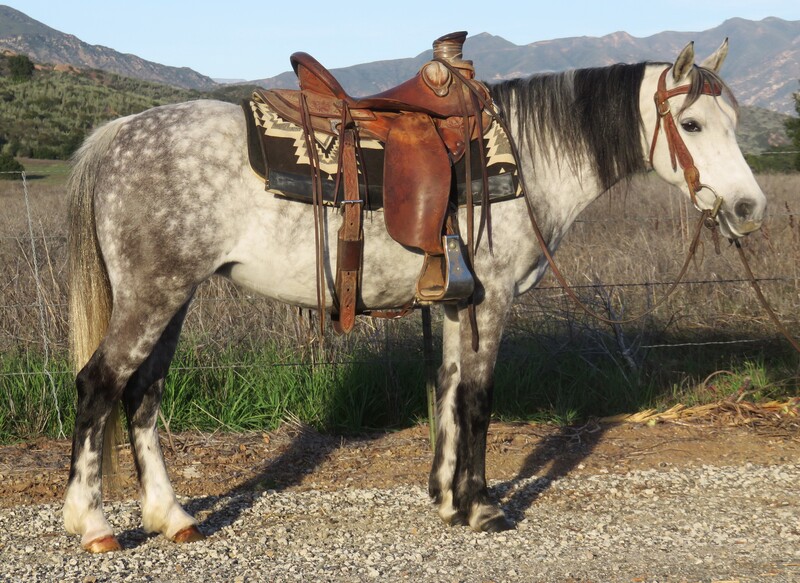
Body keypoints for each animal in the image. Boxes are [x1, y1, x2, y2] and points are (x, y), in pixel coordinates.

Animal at [63, 40, 765, 552]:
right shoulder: (491, 301)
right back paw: (92, 524)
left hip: (173, 299)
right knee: (100, 384)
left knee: (142, 392)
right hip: (152, 296)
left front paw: (449, 499)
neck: (524, 160)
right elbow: (478, 400)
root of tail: (118, 133)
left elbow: (450, 392)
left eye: (735, 122)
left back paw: (171, 516)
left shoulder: (457, 304)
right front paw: (483, 508)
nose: (748, 208)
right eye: (692, 123)